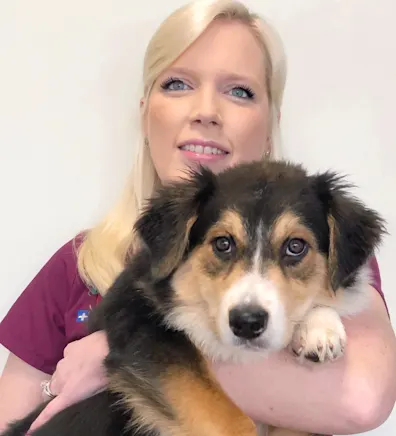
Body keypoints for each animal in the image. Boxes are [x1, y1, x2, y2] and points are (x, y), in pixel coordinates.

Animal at [2, 160, 386, 436]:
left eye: (296, 246)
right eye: (222, 243)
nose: (247, 323)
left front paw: (320, 329)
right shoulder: (140, 327)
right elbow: (230, 420)